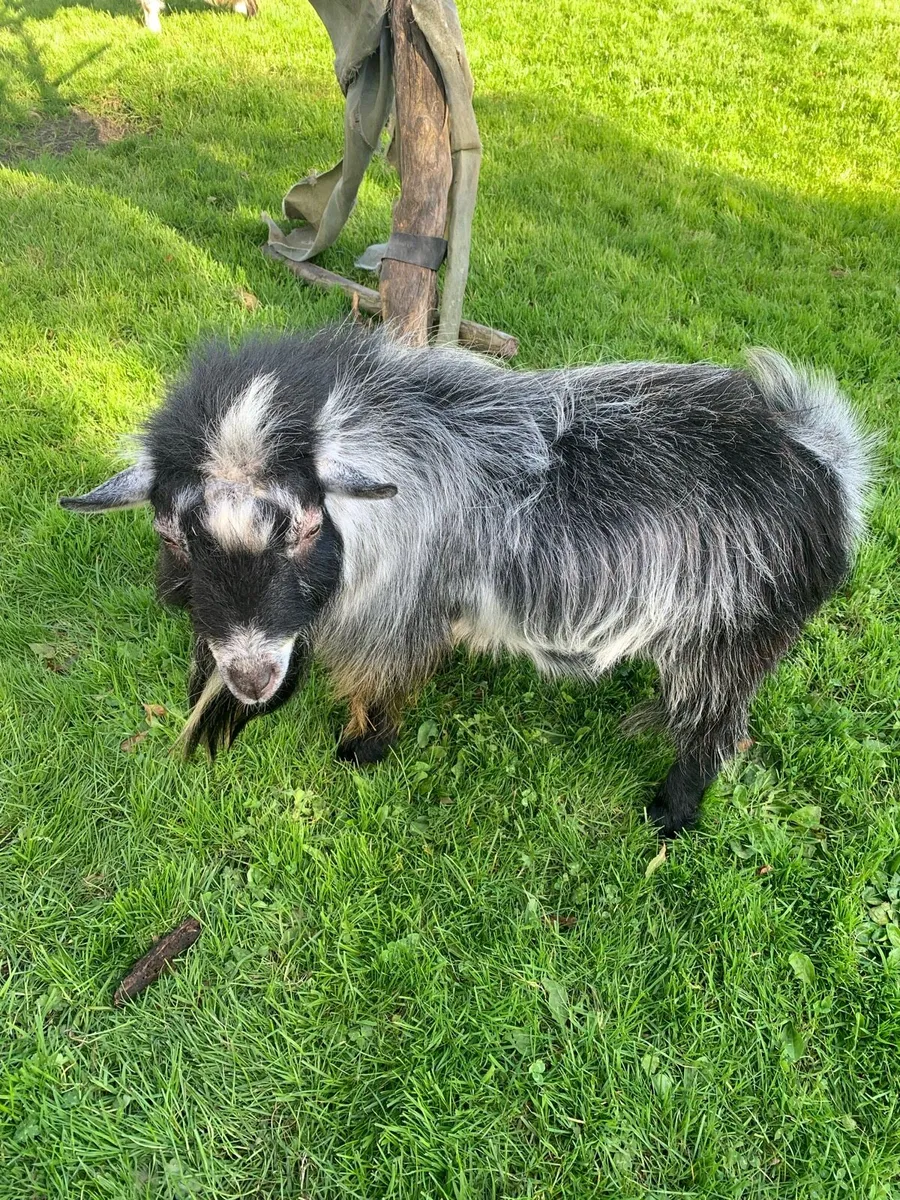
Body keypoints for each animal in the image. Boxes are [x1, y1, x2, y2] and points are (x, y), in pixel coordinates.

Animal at [60, 325, 870, 835]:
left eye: (308, 525)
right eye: (173, 534)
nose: (252, 678)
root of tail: (822, 461)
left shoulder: (397, 615)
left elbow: (380, 684)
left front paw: (358, 752)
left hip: (729, 638)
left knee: (712, 733)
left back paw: (668, 817)